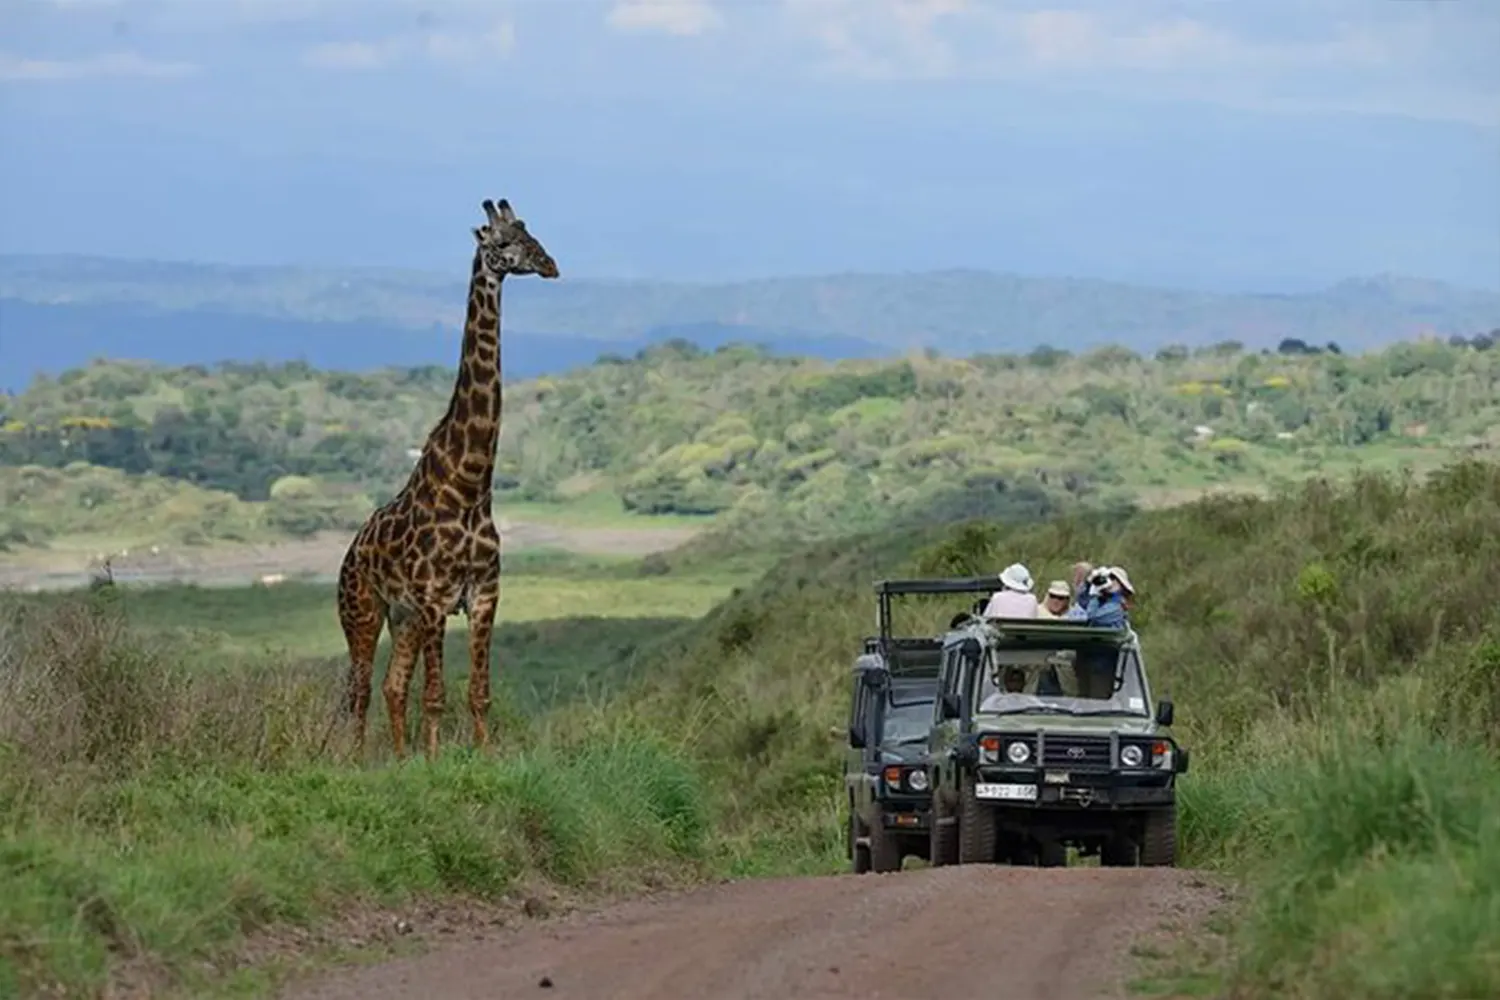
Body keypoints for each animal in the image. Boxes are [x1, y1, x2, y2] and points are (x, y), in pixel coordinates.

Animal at [337, 197, 561, 758]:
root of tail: (351, 551)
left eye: (532, 234)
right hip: (362, 610)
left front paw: (479, 757)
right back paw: (358, 760)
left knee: (392, 686)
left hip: (404, 618)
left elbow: (479, 693)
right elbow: (435, 697)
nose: (550, 265)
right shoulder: (436, 598)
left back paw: (397, 759)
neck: (471, 485)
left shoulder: (484, 594)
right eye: (502, 242)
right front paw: (435, 761)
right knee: (359, 691)